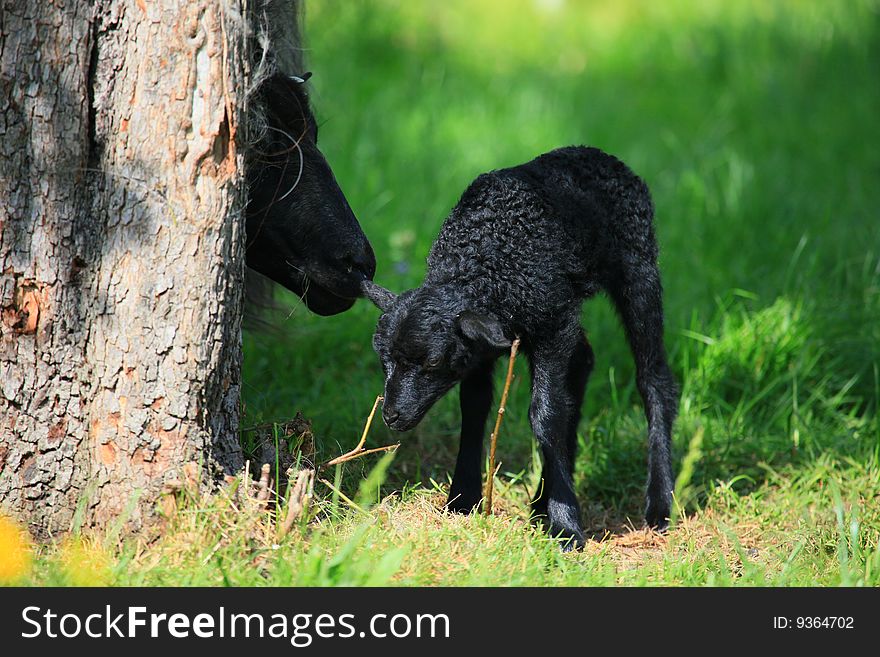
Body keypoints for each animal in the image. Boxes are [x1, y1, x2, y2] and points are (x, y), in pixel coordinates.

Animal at [360, 145, 676, 548]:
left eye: (431, 363)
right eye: (383, 360)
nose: (392, 416)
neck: (486, 263)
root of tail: (598, 155)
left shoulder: (552, 326)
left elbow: (546, 415)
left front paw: (566, 527)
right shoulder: (480, 348)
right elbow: (474, 408)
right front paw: (462, 499)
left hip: (637, 266)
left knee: (654, 379)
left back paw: (659, 505)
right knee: (583, 361)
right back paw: (542, 500)